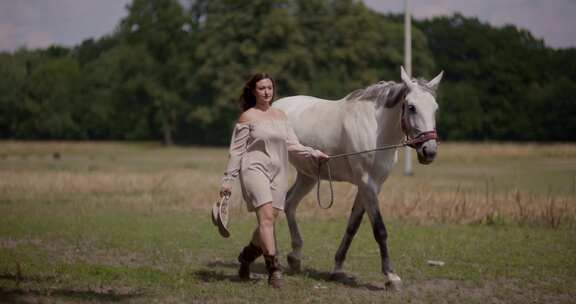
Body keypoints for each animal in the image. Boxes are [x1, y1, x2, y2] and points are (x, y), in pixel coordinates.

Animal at [272, 66, 444, 290]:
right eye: (412, 107)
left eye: (435, 108)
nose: (429, 151)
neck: (376, 129)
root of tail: (272, 106)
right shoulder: (366, 184)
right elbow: (379, 230)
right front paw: (391, 276)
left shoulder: (371, 186)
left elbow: (353, 226)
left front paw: (338, 269)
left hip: (308, 176)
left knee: (290, 203)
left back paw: (295, 257)